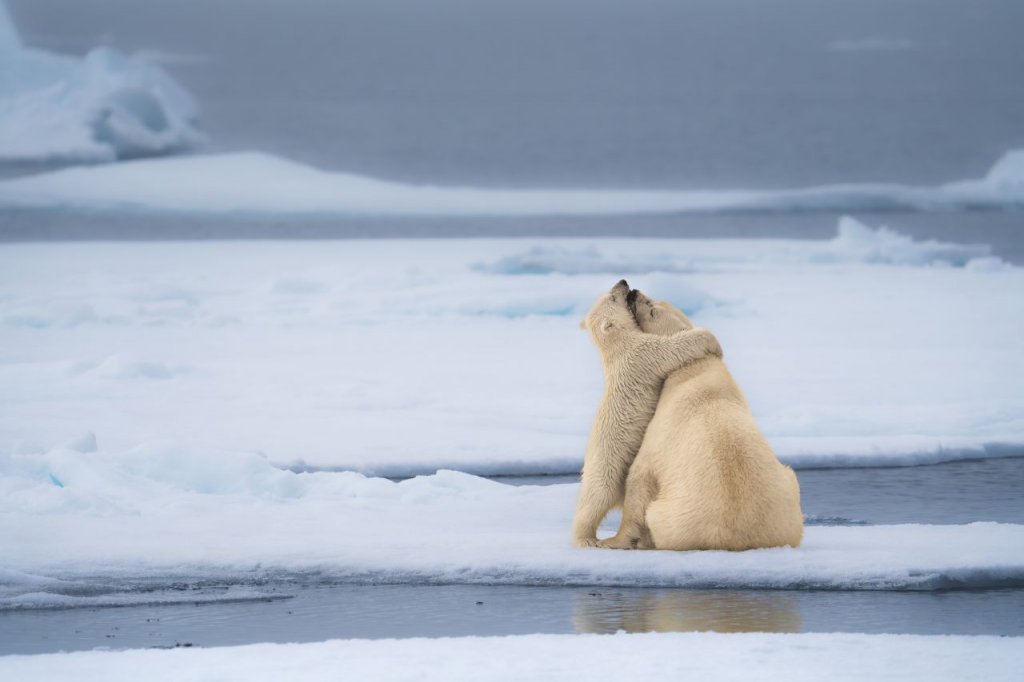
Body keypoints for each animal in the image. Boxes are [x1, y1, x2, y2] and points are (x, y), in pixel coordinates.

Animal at [573, 278, 724, 544]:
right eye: (613, 297)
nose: (623, 282)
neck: (617, 347)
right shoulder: (643, 354)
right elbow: (672, 348)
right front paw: (712, 341)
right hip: (604, 465)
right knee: (596, 497)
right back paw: (587, 538)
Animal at [598, 284, 802, 548]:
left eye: (652, 309)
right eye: (656, 300)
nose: (634, 291)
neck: (697, 368)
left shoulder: (660, 433)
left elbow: (640, 475)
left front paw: (613, 539)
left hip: (671, 516)